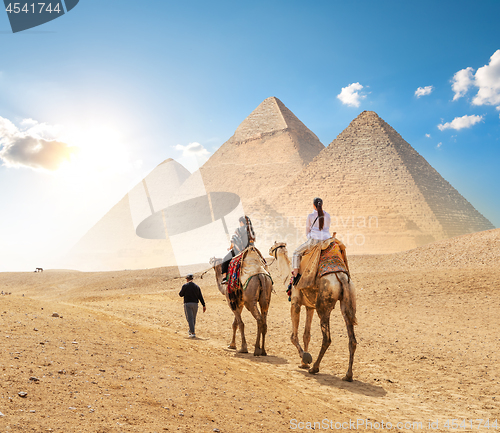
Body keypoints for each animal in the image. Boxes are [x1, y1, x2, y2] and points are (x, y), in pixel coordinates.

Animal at [270, 241, 356, 380]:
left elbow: (293, 337)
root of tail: (341, 277)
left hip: (324, 306)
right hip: (348, 300)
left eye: (273, 247)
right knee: (352, 339)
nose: (268, 250)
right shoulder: (310, 307)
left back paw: (315, 368)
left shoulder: (295, 303)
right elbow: (306, 335)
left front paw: (305, 357)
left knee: (327, 339)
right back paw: (348, 375)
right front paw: (303, 364)